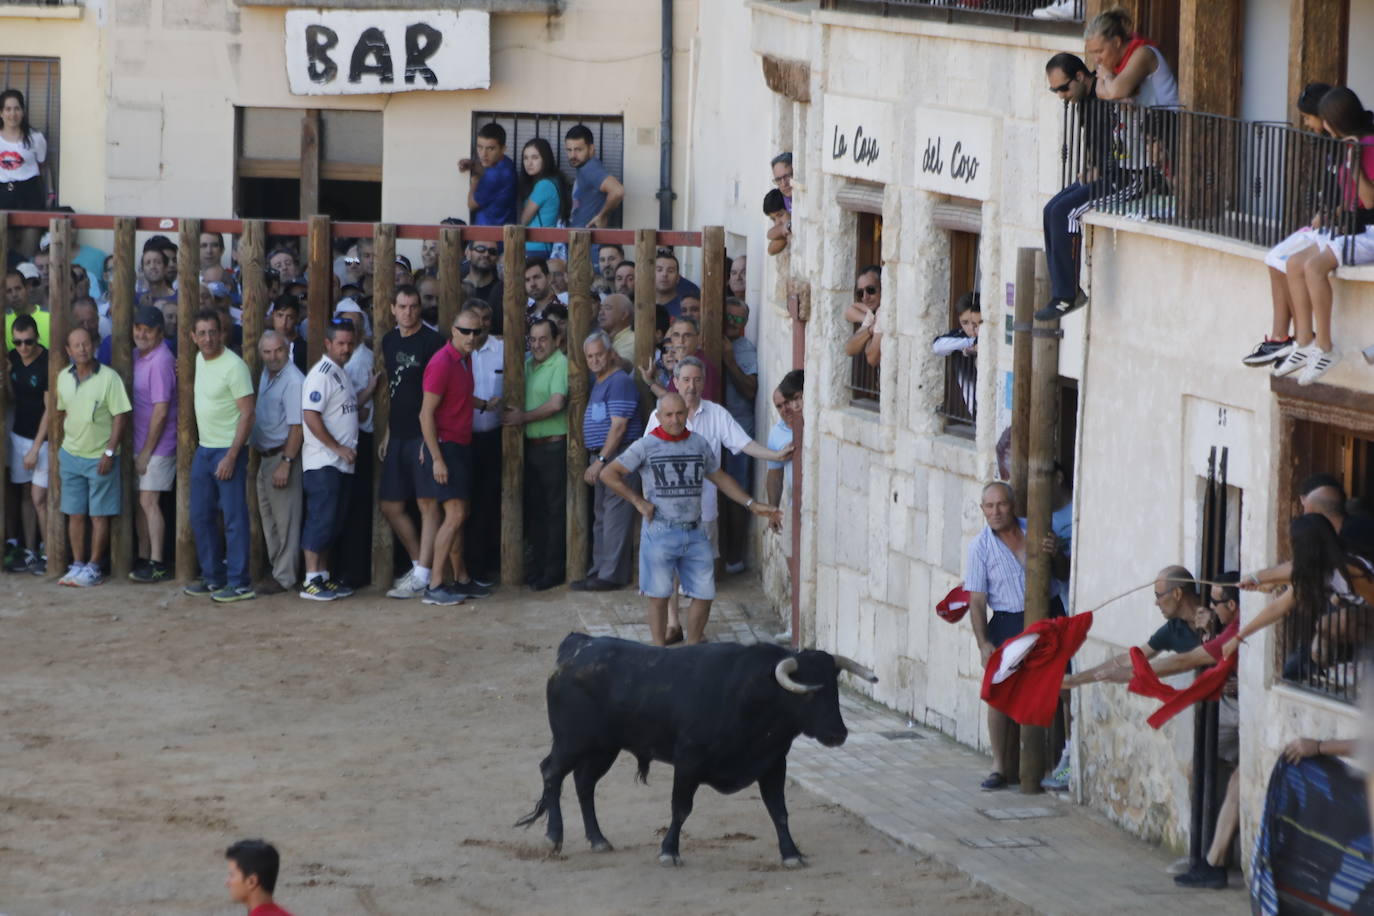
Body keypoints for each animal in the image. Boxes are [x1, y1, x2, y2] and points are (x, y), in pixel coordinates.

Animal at [516, 634, 879, 873]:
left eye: (834, 690)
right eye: (809, 693)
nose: (838, 734)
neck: (752, 695)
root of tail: (575, 648)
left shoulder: (773, 763)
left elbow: (779, 811)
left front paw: (791, 853)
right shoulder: (688, 762)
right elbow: (681, 808)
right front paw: (669, 852)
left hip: (603, 749)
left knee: (583, 783)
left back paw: (598, 839)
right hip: (572, 741)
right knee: (552, 772)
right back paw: (554, 836)